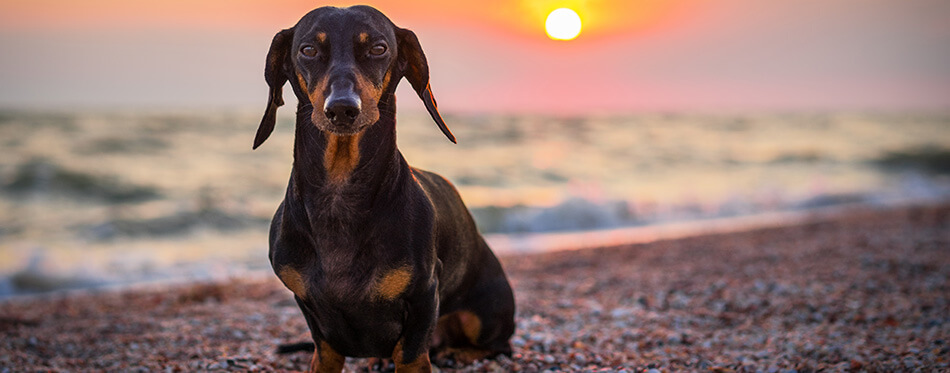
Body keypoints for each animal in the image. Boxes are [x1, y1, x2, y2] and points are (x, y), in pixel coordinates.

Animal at [253, 5, 516, 372]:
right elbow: (327, 352)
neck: (340, 196)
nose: (342, 109)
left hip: (484, 316)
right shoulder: (309, 308)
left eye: (378, 48)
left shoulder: (423, 296)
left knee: (499, 345)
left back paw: (462, 352)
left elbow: (410, 355)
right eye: (308, 49)